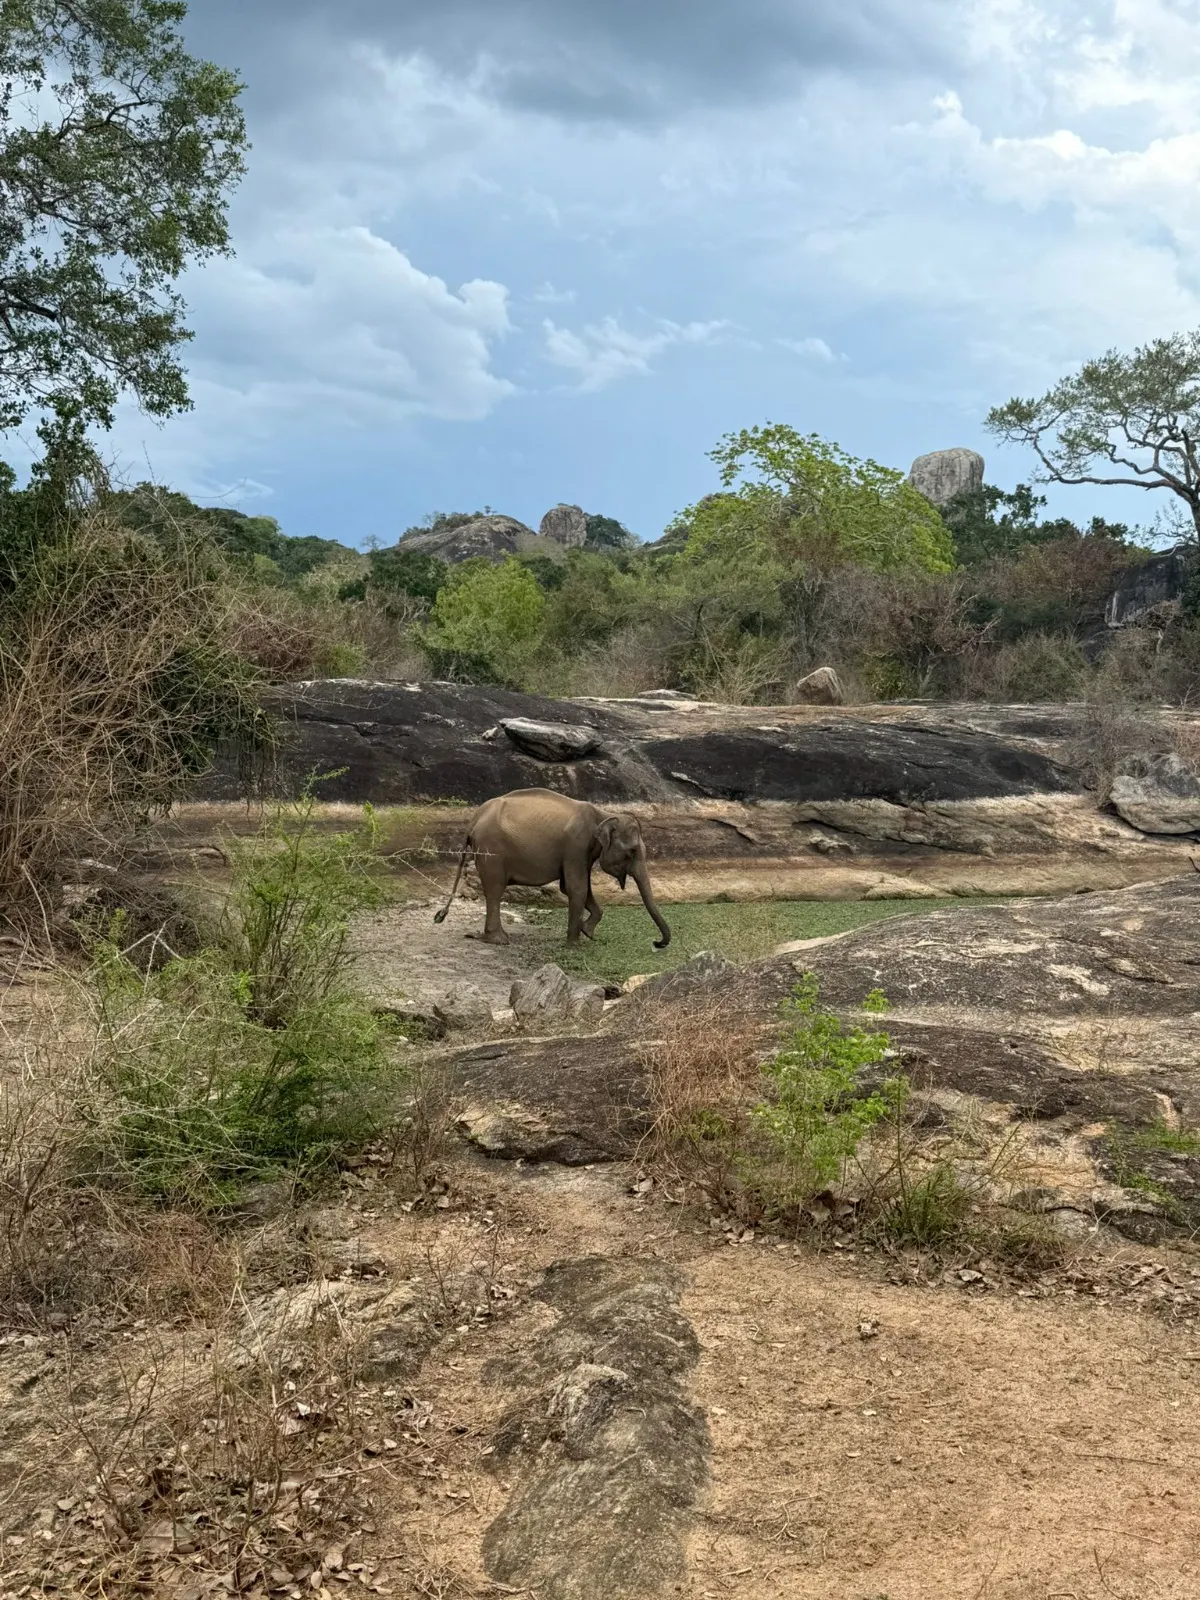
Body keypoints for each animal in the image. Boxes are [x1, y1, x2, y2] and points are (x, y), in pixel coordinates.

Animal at [432, 787, 671, 949]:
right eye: (632, 851)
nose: (656, 943)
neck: (603, 814)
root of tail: (473, 820)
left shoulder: (582, 852)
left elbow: (574, 887)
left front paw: (588, 932)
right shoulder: (576, 845)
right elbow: (577, 888)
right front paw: (574, 945)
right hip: (491, 850)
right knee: (495, 890)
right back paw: (500, 940)